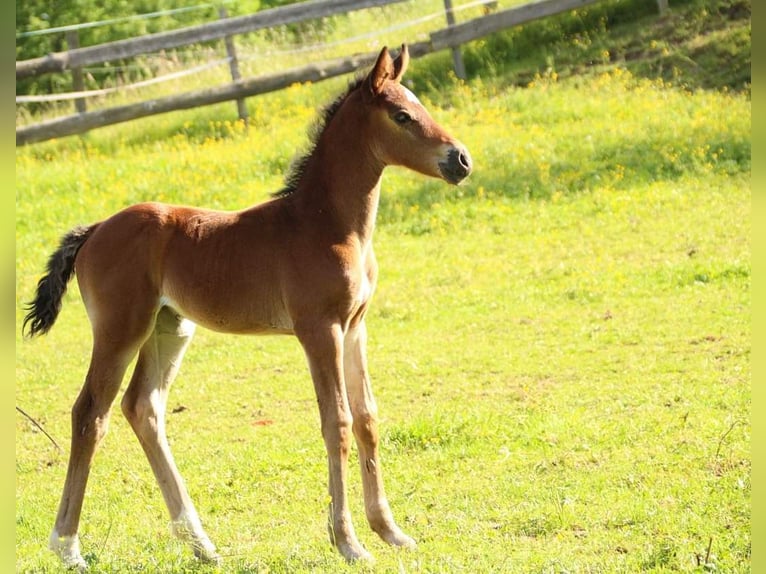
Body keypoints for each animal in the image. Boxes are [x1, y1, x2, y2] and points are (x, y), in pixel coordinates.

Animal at [24, 42, 474, 568]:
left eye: (419, 104)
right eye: (402, 115)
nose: (461, 159)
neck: (326, 224)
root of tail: (94, 230)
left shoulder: (355, 326)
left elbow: (367, 417)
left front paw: (390, 531)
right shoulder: (319, 329)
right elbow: (337, 422)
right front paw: (348, 542)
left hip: (168, 327)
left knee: (143, 408)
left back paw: (201, 544)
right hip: (120, 330)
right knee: (90, 413)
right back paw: (67, 547)